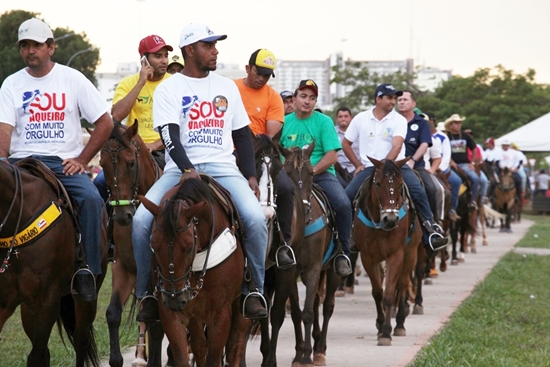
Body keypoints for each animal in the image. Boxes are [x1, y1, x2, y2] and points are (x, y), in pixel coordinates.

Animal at [100, 122, 163, 366]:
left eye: (131, 163)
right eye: (103, 165)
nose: (121, 216)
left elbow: (158, 324)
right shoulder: (124, 268)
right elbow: (113, 314)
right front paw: (117, 359)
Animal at [140, 178, 248, 367]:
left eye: (189, 247)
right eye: (153, 244)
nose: (174, 300)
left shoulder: (219, 315)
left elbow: (215, 357)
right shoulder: (171, 314)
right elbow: (184, 355)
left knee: (236, 344)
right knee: (199, 345)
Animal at [354, 158, 422, 348]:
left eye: (399, 185)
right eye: (378, 183)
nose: (390, 219)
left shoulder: (396, 256)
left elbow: (389, 294)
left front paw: (386, 333)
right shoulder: (368, 257)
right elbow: (378, 292)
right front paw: (380, 325)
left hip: (410, 254)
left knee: (403, 284)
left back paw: (399, 324)